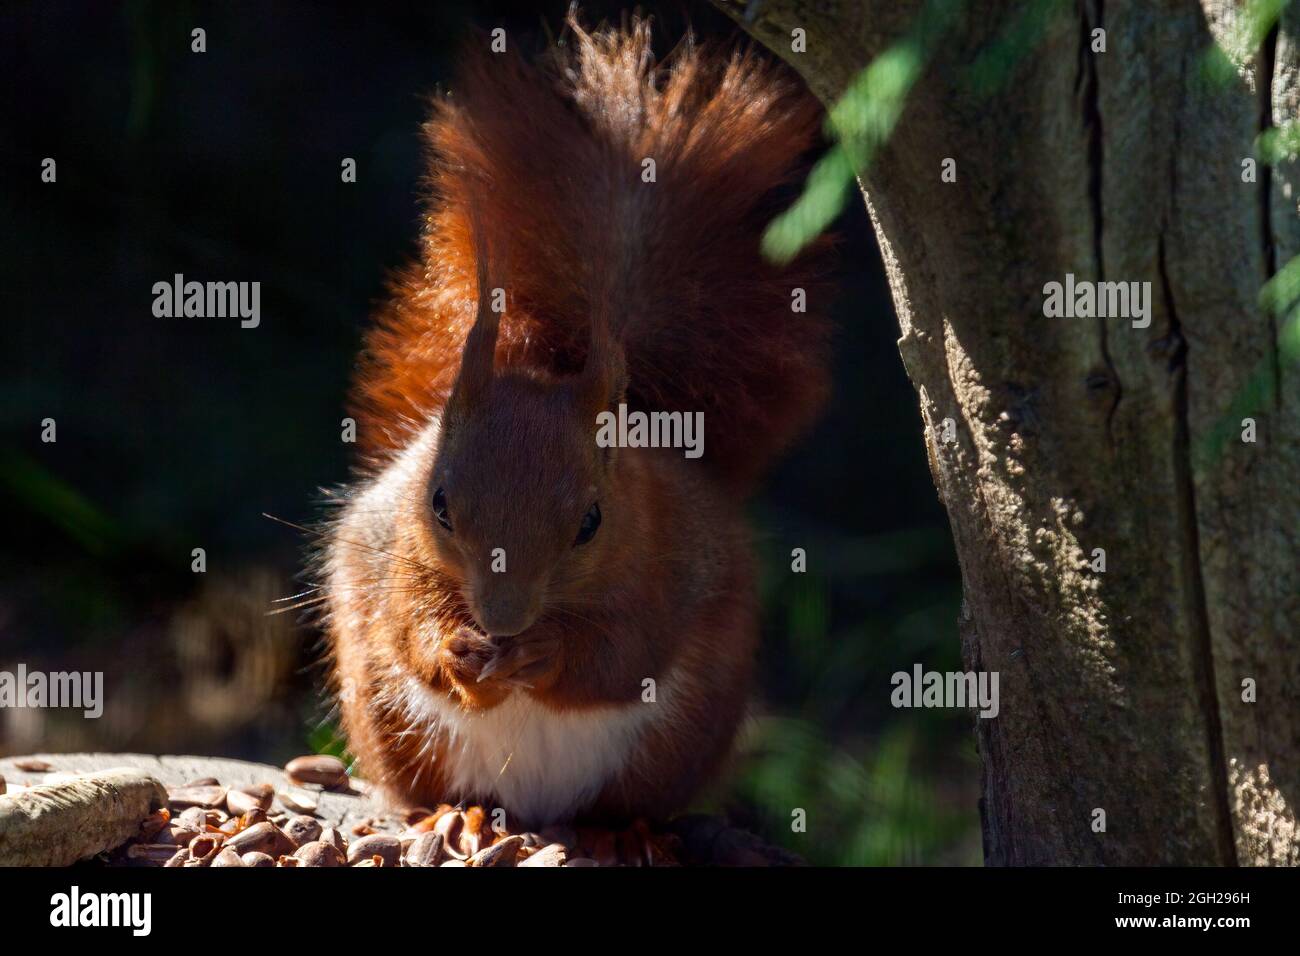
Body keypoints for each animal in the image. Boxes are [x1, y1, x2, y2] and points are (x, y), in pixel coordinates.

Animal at [323, 14, 832, 832]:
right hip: (384, 712)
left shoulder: (668, 569)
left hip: (675, 745)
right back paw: (445, 816)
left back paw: (623, 834)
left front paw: (544, 656)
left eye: (592, 523)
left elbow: (621, 654)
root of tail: (535, 810)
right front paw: (459, 651)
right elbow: (411, 627)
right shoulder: (397, 553)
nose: (501, 621)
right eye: (439, 505)